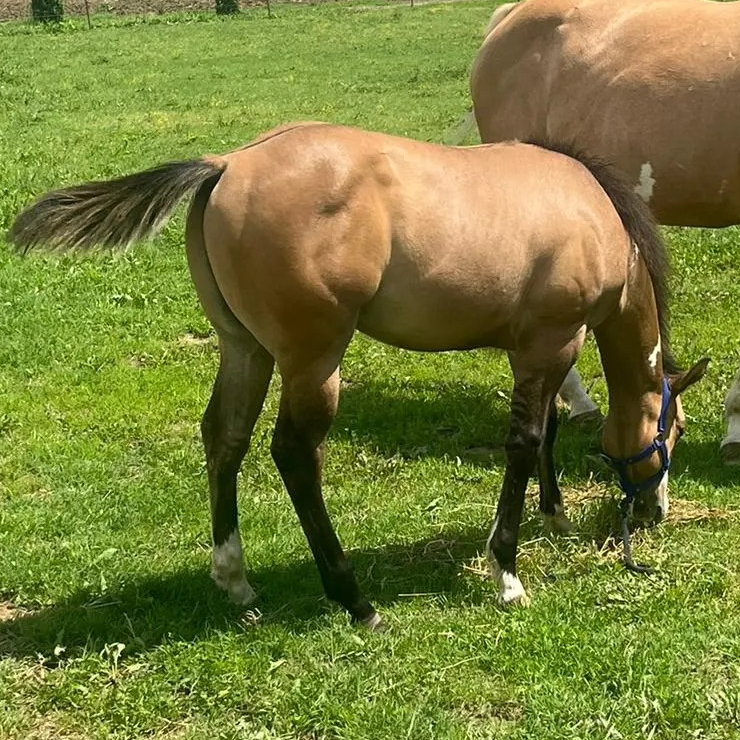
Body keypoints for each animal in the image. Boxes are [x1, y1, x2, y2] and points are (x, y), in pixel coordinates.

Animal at [8, 122, 708, 628]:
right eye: (671, 432)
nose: (654, 513)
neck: (592, 212)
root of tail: (227, 163)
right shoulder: (551, 340)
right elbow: (525, 442)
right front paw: (507, 571)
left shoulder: (537, 350)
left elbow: (551, 428)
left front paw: (555, 514)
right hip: (316, 362)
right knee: (294, 453)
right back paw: (354, 600)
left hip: (245, 350)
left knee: (225, 438)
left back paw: (235, 578)